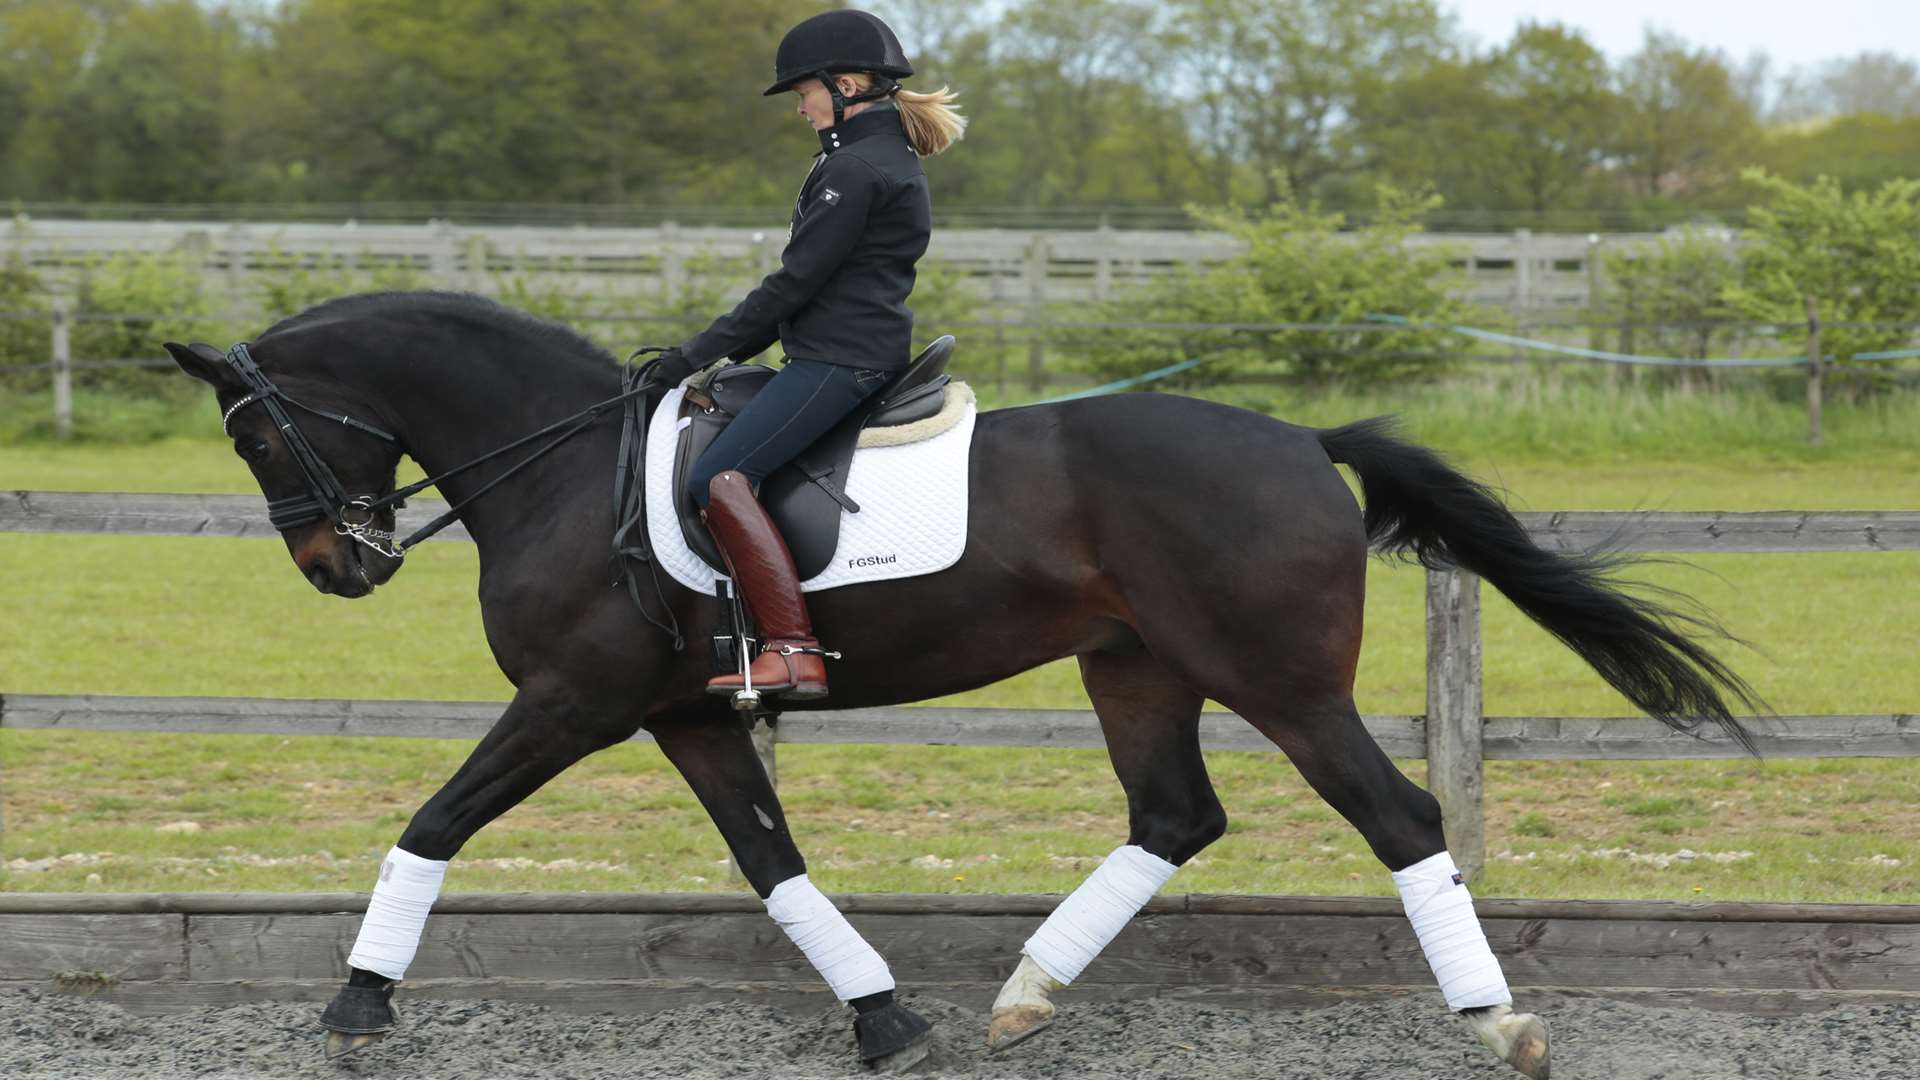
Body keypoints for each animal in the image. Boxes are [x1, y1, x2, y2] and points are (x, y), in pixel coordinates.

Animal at [165, 290, 1758, 1068]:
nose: (337, 566)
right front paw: (884, 1019)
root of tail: (1305, 440)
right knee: (1174, 817)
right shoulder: (686, 716)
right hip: (1137, 669)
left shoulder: (576, 701)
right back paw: (1024, 997)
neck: (562, 463)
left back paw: (1498, 1022)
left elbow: (432, 823)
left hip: (1282, 685)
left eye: (252, 433)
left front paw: (357, 1006)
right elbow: (774, 866)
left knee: (1403, 821)